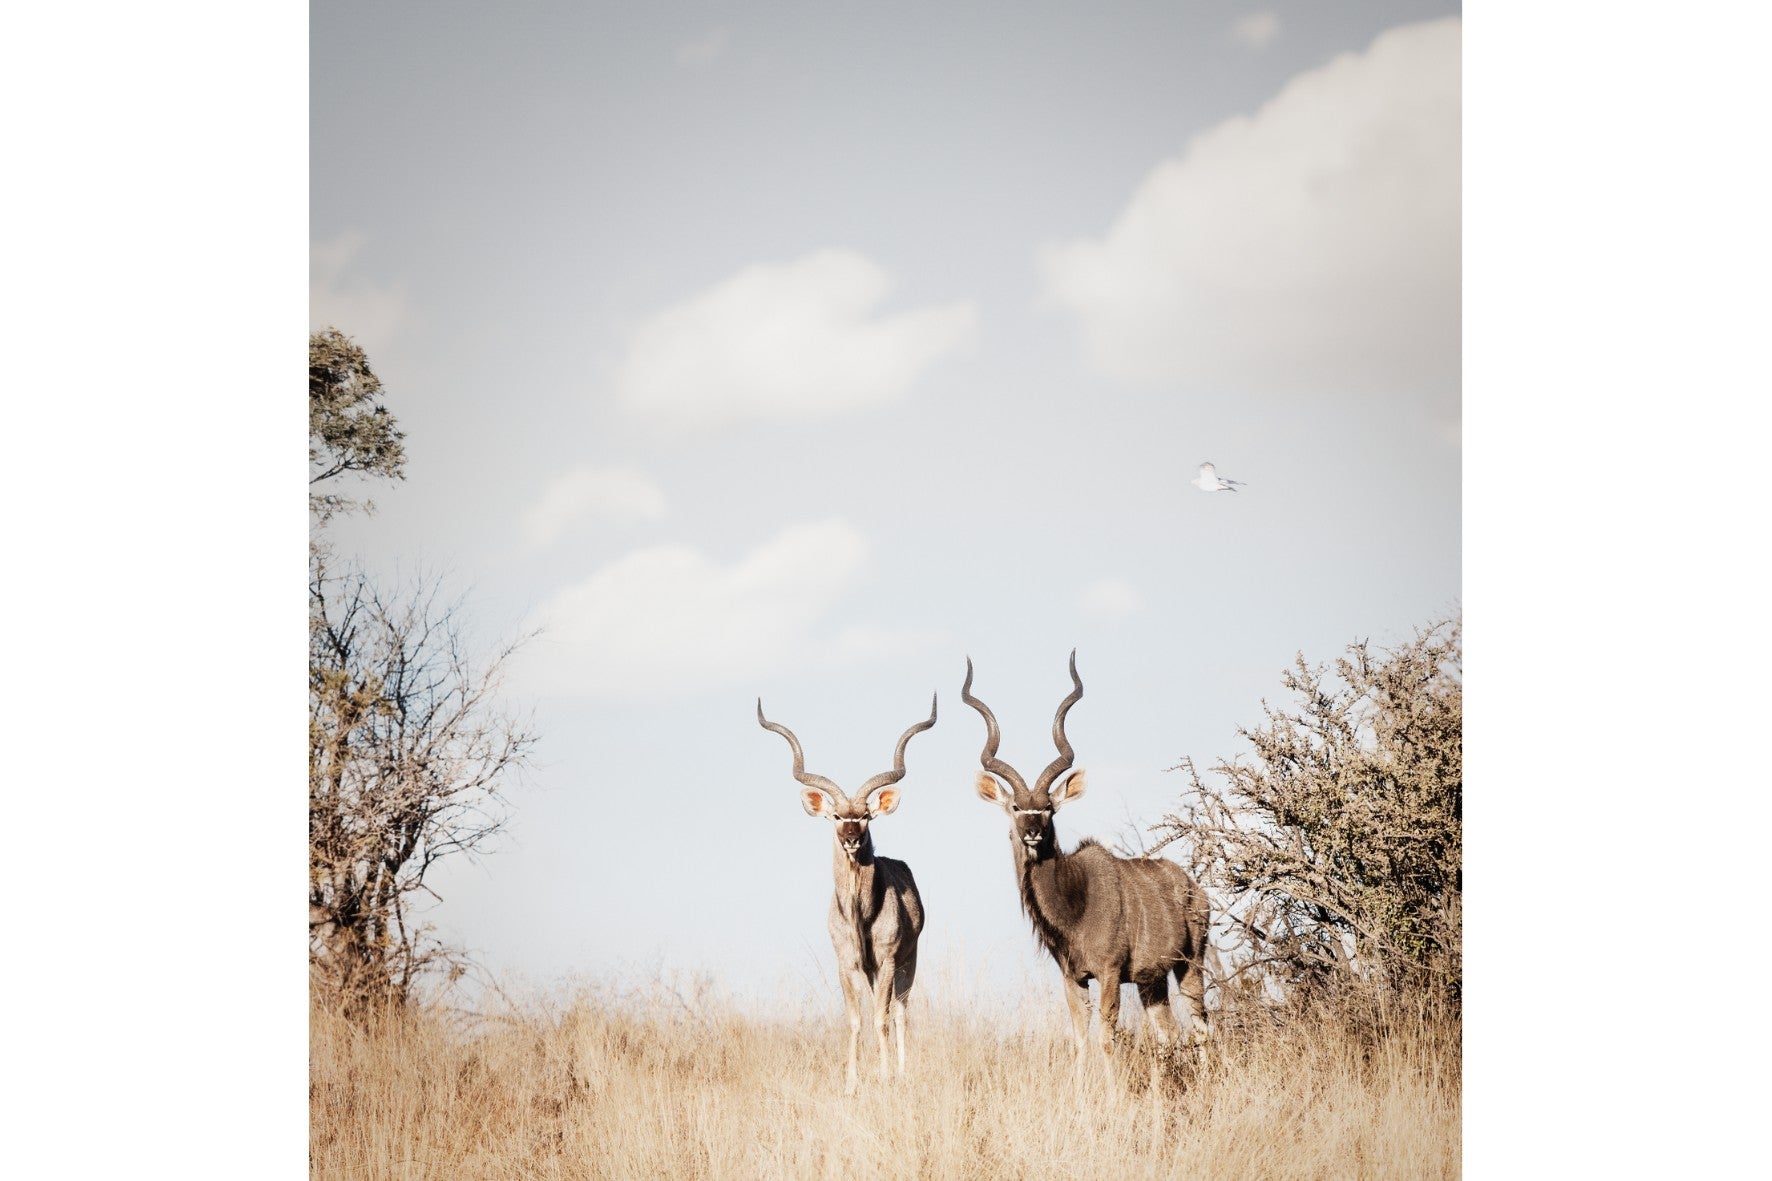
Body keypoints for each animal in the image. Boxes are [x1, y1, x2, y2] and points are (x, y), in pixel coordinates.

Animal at [757, 694, 936, 1094]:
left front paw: (885, 1076)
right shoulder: (848, 964)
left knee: (900, 1013)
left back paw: (901, 1072)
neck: (860, 915)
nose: (852, 838)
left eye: (866, 815)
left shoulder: (887, 961)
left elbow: (882, 1018)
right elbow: (855, 1020)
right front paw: (851, 1082)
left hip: (908, 962)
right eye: (837, 816)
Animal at [962, 652, 1210, 1077]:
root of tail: (1196, 890)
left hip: (1190, 964)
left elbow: (1106, 1040)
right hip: (1152, 982)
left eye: (1048, 807)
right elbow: (1078, 1041)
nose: (1032, 832)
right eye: (1016, 807)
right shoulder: (1073, 978)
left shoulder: (1109, 973)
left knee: (1202, 1026)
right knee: (1169, 1033)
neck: (1074, 903)